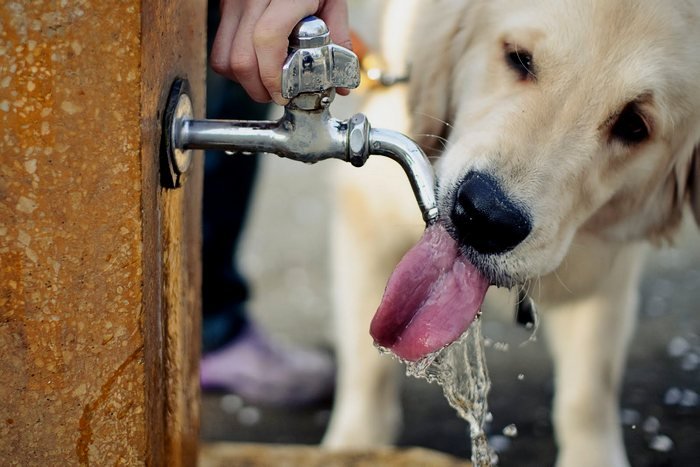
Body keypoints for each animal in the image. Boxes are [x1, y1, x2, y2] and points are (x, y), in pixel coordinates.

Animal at [320, 1, 700, 466]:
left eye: (634, 125)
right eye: (519, 58)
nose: (485, 217)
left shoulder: (606, 267)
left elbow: (589, 389)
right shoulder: (367, 213)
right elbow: (366, 367)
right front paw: (354, 447)